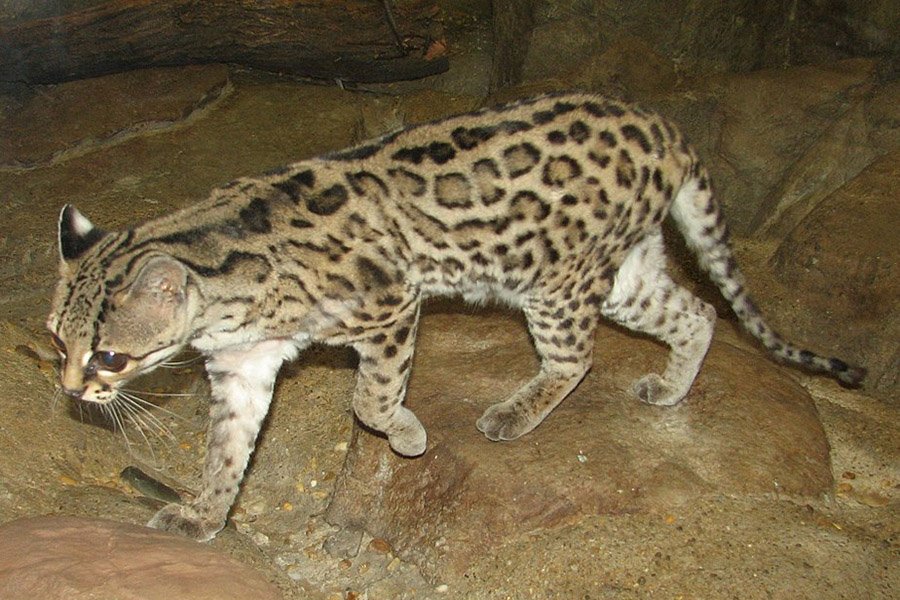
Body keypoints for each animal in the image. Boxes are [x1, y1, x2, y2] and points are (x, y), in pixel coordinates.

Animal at [45, 91, 860, 540]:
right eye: (57, 341)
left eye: (110, 356)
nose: (71, 390)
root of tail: (661, 124)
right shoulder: (243, 367)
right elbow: (226, 452)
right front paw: (203, 515)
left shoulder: (389, 301)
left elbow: (369, 400)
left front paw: (406, 433)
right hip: (620, 271)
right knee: (696, 311)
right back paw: (673, 384)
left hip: (556, 279)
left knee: (577, 357)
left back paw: (517, 412)